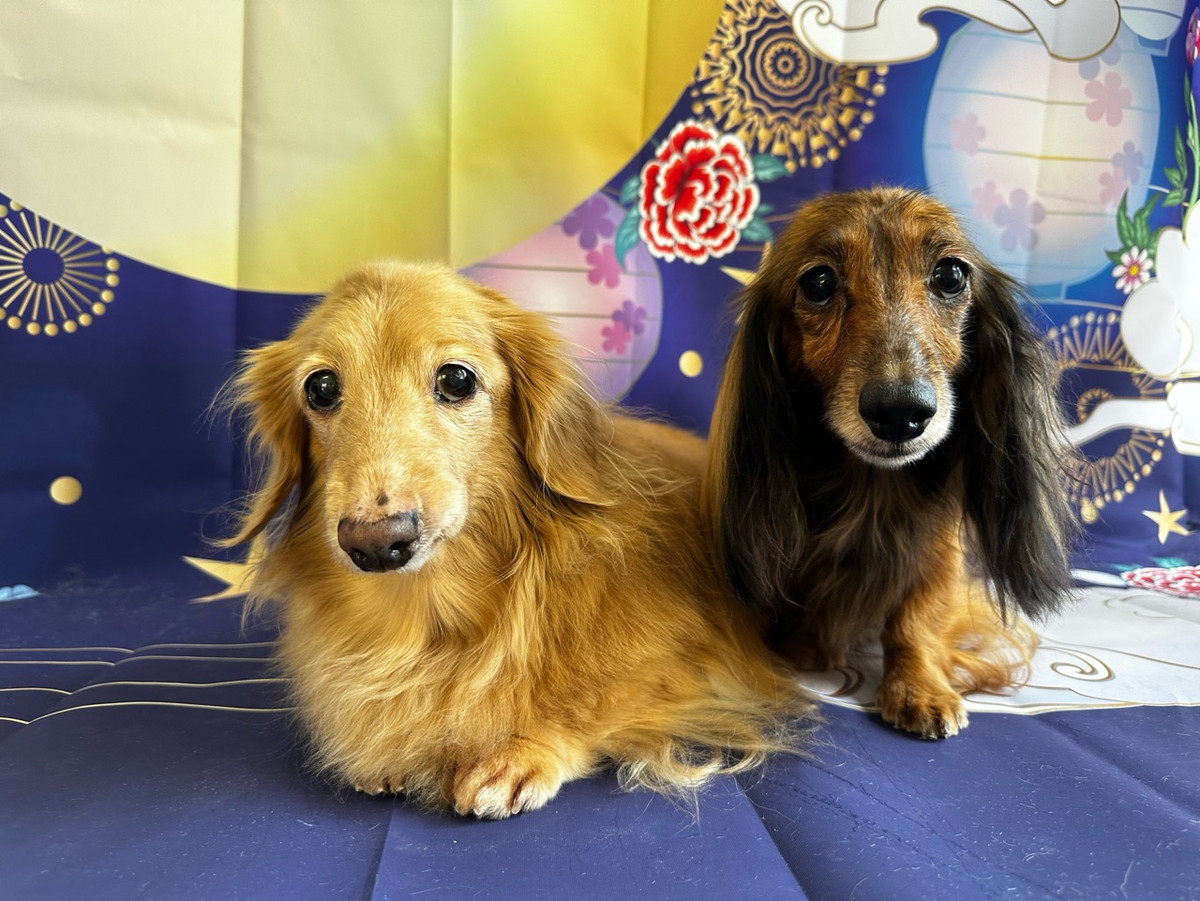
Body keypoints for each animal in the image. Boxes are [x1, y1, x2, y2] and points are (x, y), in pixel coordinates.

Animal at [222, 260, 813, 817]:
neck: (434, 621)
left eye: (457, 380)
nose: (374, 543)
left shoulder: (702, 668)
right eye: (320, 388)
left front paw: (525, 746)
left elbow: (596, 700)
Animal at [704, 187, 1076, 739]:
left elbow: (916, 618)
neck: (873, 490)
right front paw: (805, 646)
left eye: (951, 275)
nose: (900, 412)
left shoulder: (939, 554)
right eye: (818, 283)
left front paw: (918, 685)